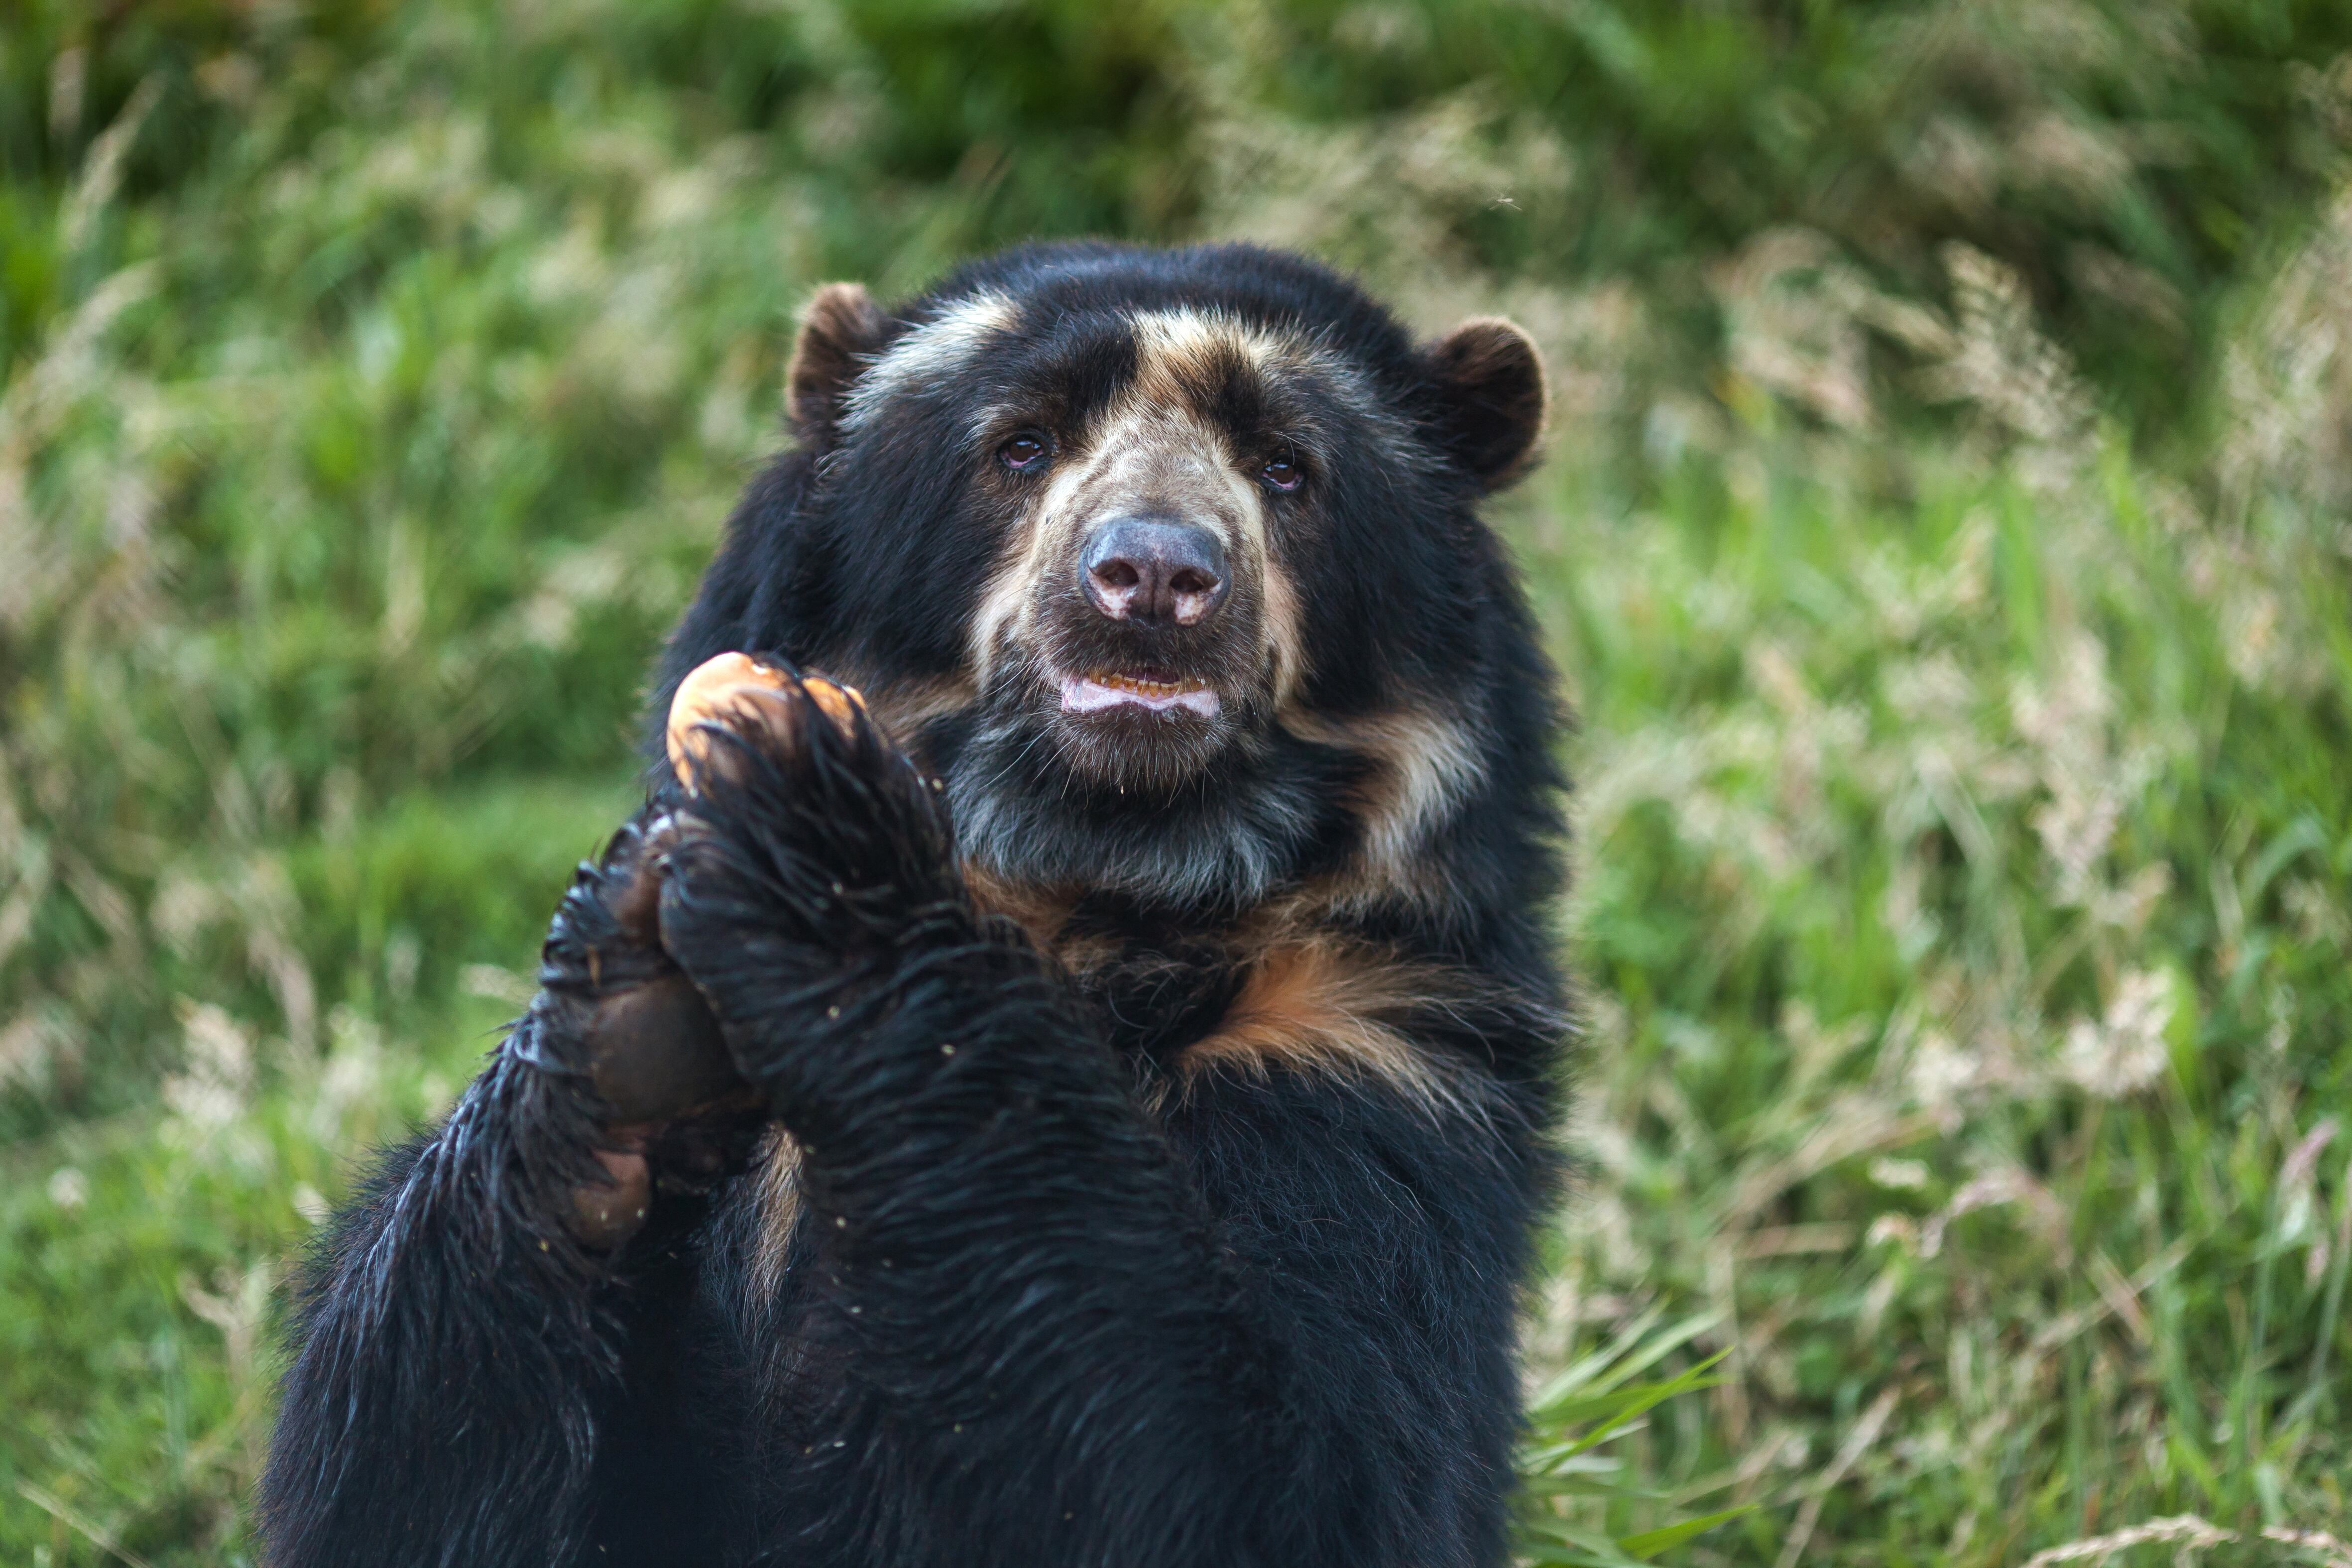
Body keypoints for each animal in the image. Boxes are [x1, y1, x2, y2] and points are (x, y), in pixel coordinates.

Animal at [259, 240, 1568, 1568]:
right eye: (1020, 446)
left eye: (1286, 467)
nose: (1152, 578)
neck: (1097, 887)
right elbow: (399, 1460)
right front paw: (627, 1016)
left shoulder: (1373, 1050)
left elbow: (1260, 1467)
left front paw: (810, 824)